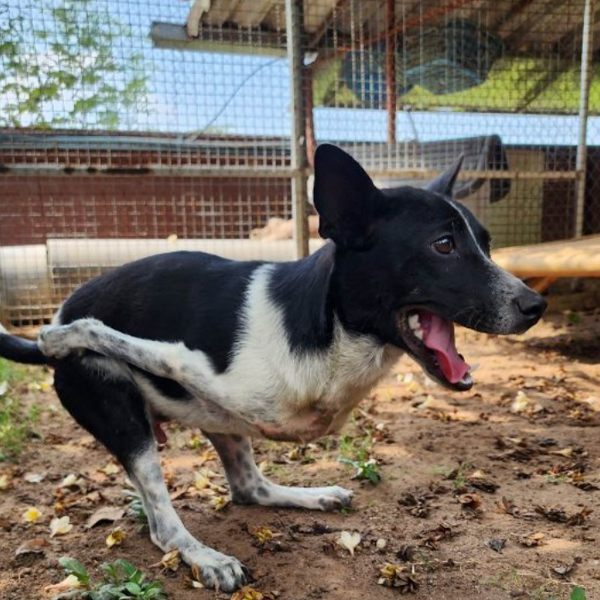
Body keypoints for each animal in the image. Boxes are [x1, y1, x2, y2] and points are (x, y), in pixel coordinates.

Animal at [0, 144, 544, 592]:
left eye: (486, 243)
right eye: (443, 245)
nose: (536, 305)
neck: (331, 331)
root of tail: (62, 303)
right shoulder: (189, 363)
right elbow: (123, 341)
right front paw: (70, 335)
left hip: (223, 426)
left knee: (249, 488)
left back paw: (313, 496)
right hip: (125, 417)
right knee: (162, 525)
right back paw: (203, 556)